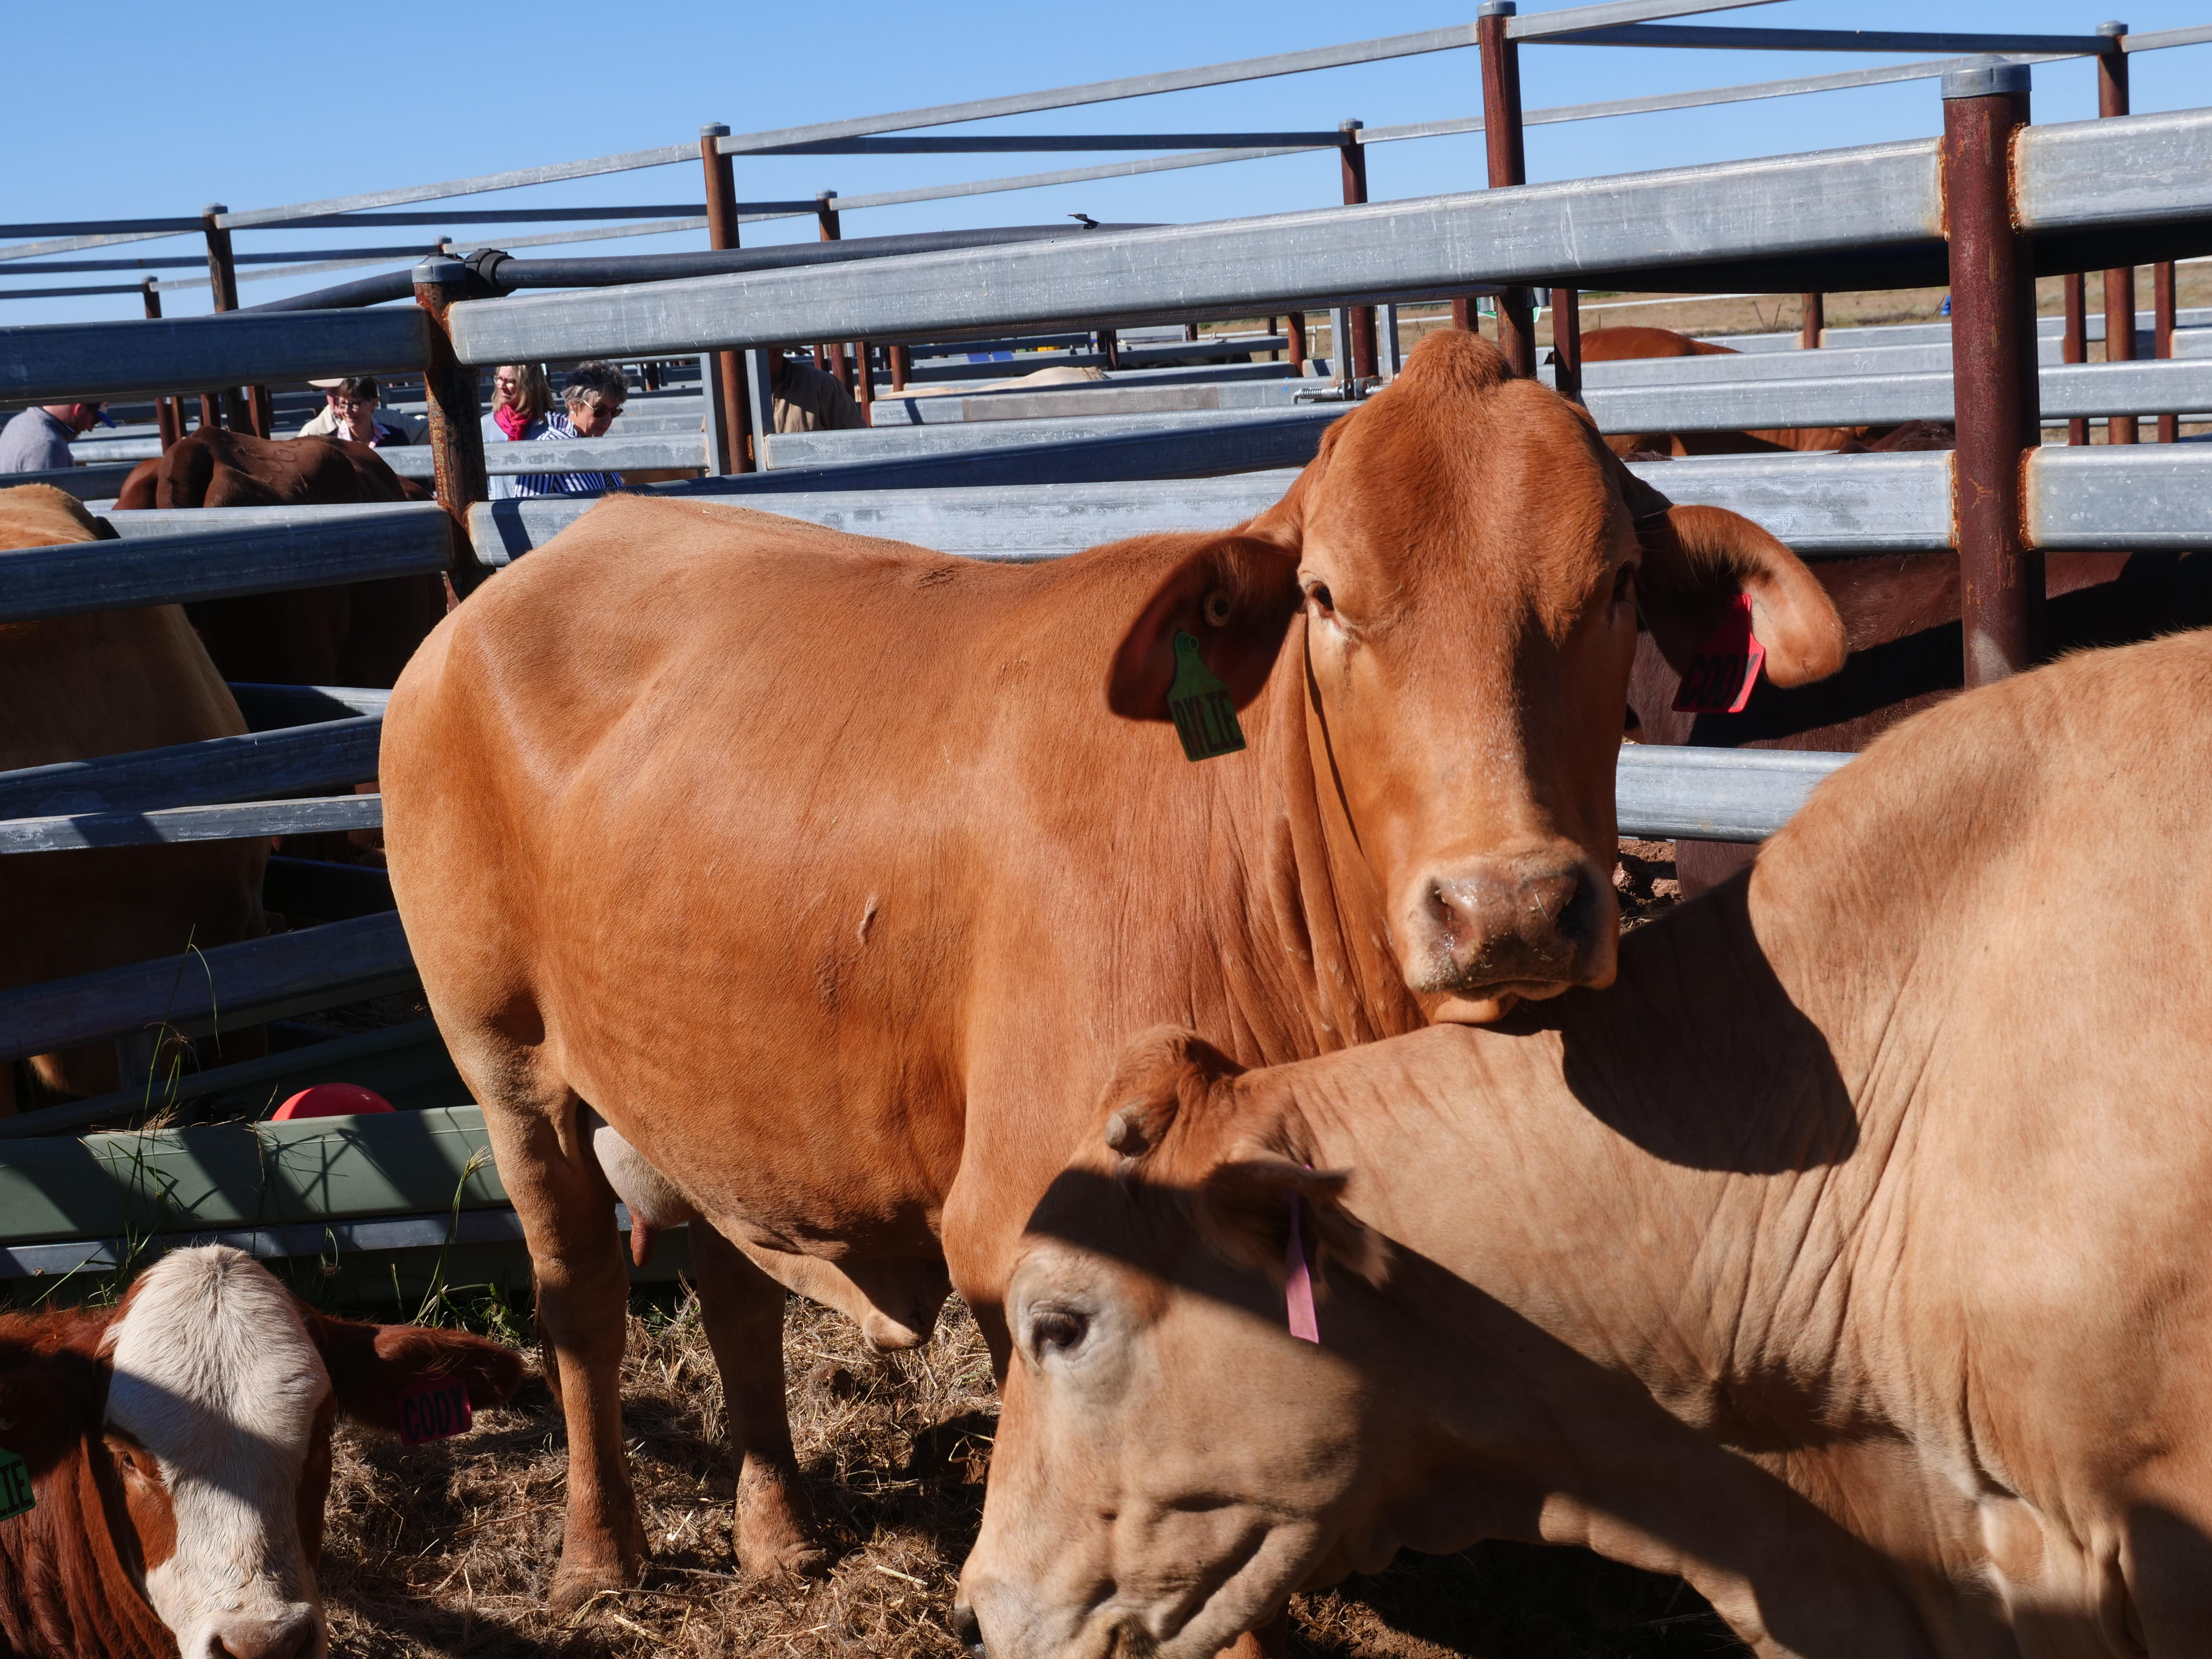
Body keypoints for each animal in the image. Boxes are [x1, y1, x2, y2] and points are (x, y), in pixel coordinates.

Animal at [377, 329, 1847, 1612]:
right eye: (1325, 597)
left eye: (1615, 585)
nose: (1511, 904)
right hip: (503, 1055)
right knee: (580, 1292)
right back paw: (598, 1557)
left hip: (709, 1085)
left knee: (736, 1286)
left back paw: (779, 1534)